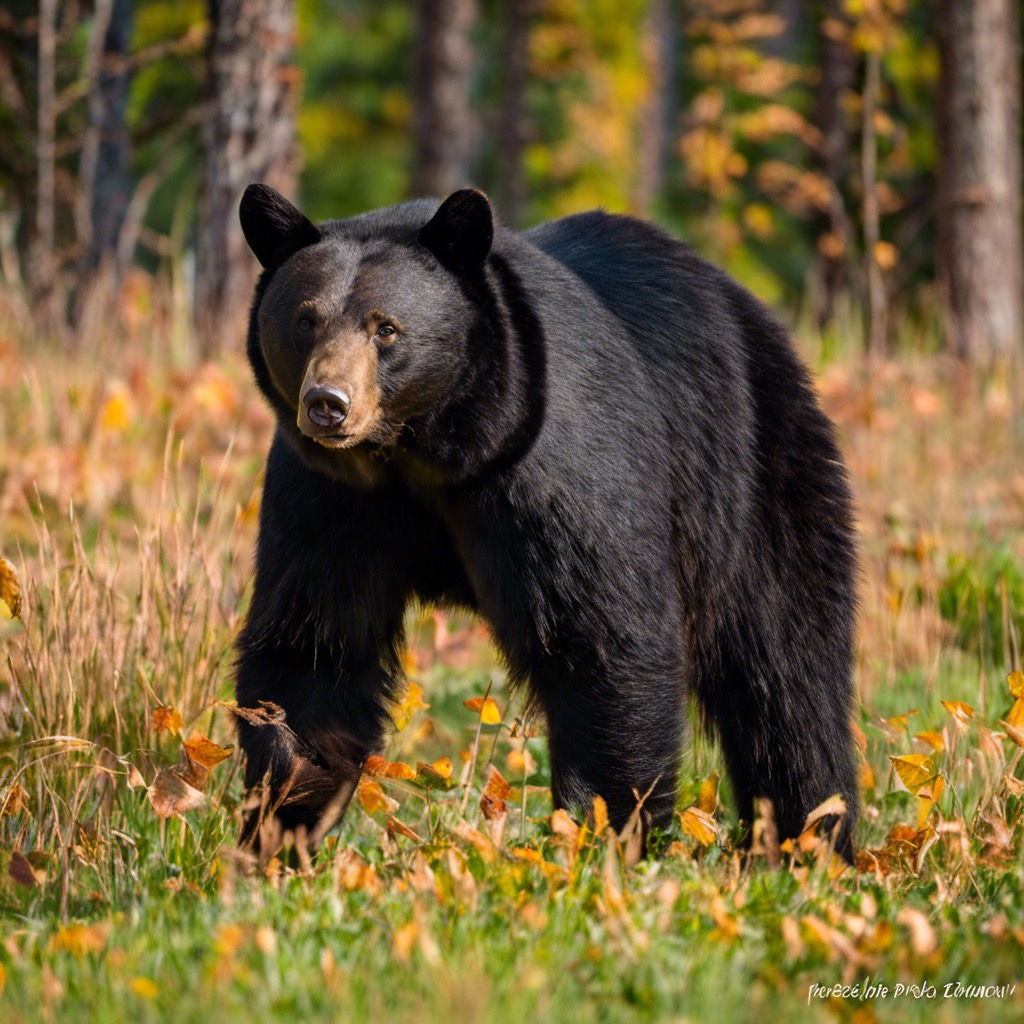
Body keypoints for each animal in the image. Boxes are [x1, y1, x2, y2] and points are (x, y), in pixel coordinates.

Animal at [234, 183, 860, 860]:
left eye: (387, 328)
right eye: (306, 319)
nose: (328, 403)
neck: (424, 453)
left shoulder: (552, 470)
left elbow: (604, 640)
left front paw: (599, 836)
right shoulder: (328, 500)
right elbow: (315, 648)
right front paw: (281, 823)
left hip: (751, 467)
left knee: (788, 667)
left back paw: (811, 839)